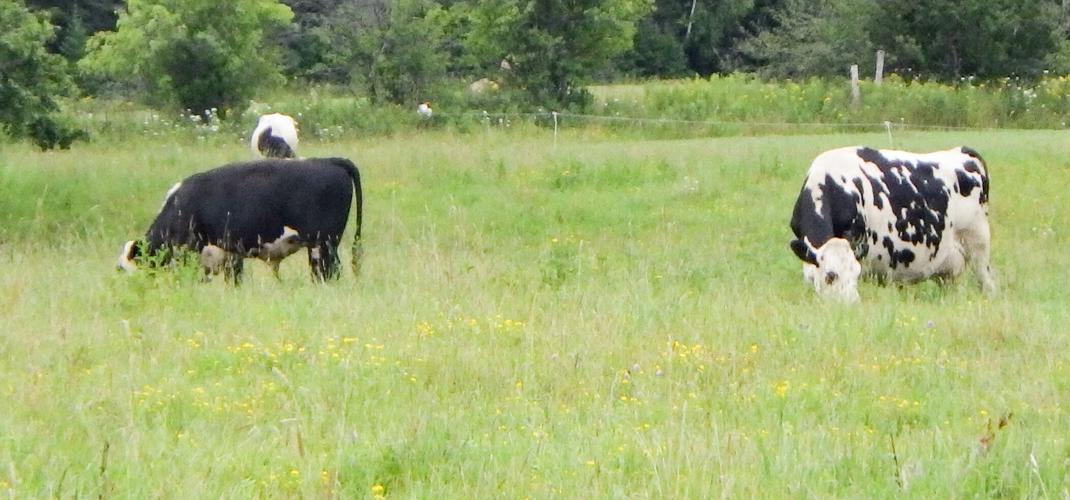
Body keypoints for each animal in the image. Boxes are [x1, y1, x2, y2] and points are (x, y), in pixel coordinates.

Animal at [789, 146, 996, 303]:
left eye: (856, 273)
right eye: (830, 276)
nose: (852, 304)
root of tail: (963, 150)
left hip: (978, 245)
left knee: (988, 282)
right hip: (948, 266)